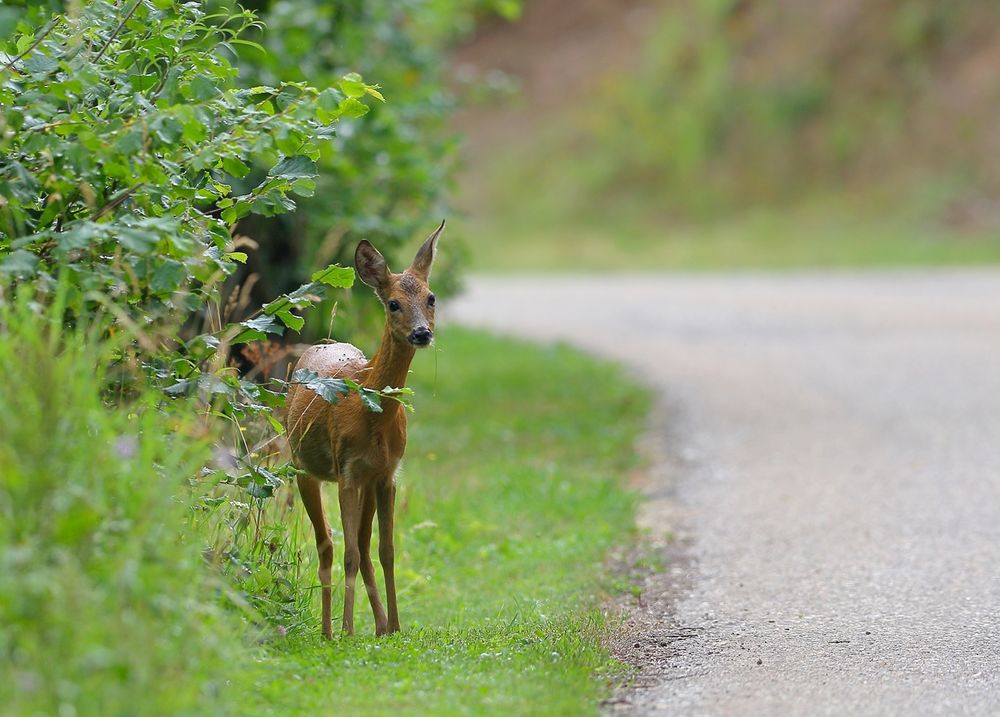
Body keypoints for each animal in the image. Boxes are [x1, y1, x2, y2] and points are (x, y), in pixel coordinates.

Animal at [284, 221, 444, 636]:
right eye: (393, 303)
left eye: (431, 297)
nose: (422, 333)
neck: (372, 414)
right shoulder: (348, 471)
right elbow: (350, 553)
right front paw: (347, 630)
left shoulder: (386, 474)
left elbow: (386, 550)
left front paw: (395, 626)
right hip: (302, 468)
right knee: (327, 545)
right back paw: (329, 630)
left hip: (365, 483)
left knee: (362, 544)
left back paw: (379, 625)